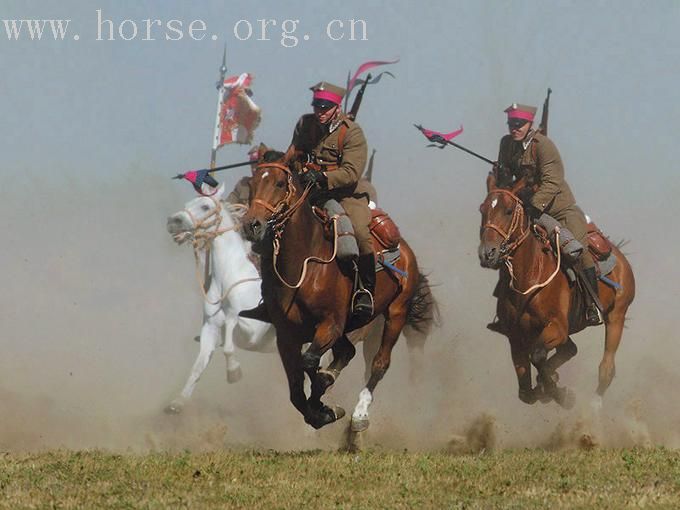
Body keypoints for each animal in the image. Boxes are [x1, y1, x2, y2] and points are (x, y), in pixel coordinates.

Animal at [165, 184, 274, 414]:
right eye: (188, 203)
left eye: (205, 206)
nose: (173, 222)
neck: (229, 275)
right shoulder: (210, 327)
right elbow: (199, 364)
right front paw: (179, 401)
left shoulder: (254, 331)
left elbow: (231, 332)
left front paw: (234, 371)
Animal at [242, 160, 438, 430]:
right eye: (252, 183)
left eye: (280, 183)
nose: (252, 225)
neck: (305, 265)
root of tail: (406, 251)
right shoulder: (287, 336)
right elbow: (297, 388)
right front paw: (322, 411)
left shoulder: (331, 325)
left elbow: (310, 364)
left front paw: (323, 403)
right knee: (347, 353)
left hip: (395, 313)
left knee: (379, 363)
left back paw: (360, 415)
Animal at [480, 178, 636, 406]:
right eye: (482, 209)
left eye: (508, 211)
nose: (487, 253)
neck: (531, 276)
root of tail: (620, 257)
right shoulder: (516, 337)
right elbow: (526, 391)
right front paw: (547, 386)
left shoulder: (557, 328)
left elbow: (537, 357)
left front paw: (561, 394)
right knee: (570, 350)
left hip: (616, 316)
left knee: (606, 368)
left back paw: (594, 406)